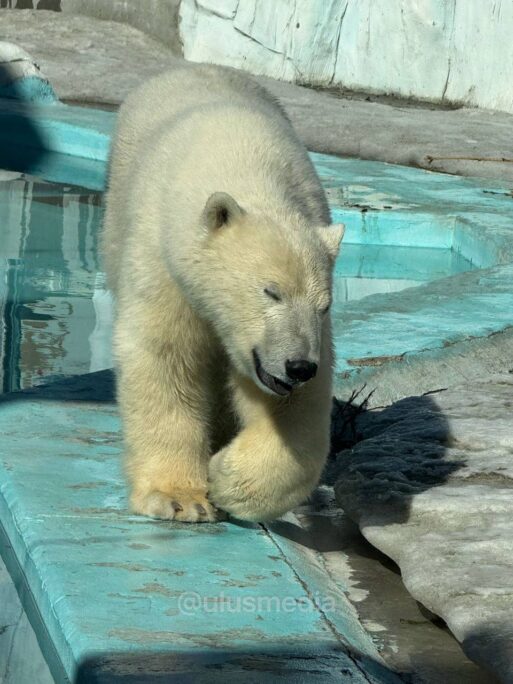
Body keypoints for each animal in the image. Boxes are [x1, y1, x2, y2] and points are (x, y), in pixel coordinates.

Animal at [101, 64, 342, 524]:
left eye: (323, 306)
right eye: (271, 292)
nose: (299, 366)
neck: (248, 170)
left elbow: (294, 412)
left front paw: (226, 476)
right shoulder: (163, 260)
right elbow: (166, 356)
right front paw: (180, 497)